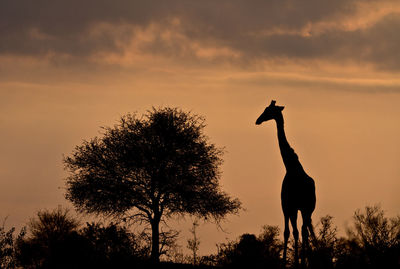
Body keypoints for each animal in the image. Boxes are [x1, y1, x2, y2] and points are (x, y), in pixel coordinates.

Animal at [256, 100, 316, 266]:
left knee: (303, 231)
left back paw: (303, 261)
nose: (258, 120)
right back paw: (304, 261)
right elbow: (289, 232)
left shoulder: (289, 206)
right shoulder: (289, 206)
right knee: (304, 230)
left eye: (268, 110)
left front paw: (291, 262)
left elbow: (291, 232)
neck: (291, 166)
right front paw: (290, 261)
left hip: (307, 208)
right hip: (304, 209)